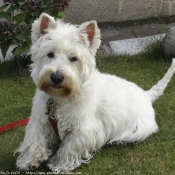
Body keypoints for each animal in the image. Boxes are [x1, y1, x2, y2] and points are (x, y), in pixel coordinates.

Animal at [15, 13, 175, 173]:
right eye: (50, 54)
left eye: (74, 58)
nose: (56, 77)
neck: (61, 98)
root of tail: (147, 95)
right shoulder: (41, 119)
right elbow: (35, 138)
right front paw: (29, 160)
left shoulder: (83, 128)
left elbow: (70, 147)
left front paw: (59, 165)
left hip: (138, 128)